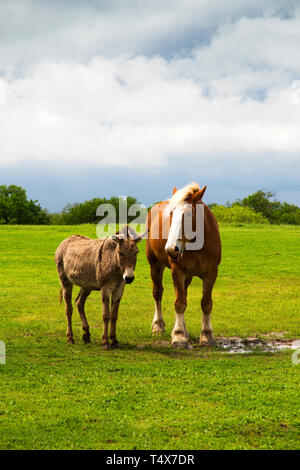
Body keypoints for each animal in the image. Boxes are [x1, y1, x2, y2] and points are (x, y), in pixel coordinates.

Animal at [146, 182, 221, 346]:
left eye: (187, 214)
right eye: (171, 213)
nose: (171, 249)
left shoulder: (211, 273)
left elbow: (206, 303)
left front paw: (207, 334)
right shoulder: (178, 271)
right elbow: (180, 303)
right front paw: (179, 335)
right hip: (155, 265)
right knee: (158, 293)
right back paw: (158, 326)